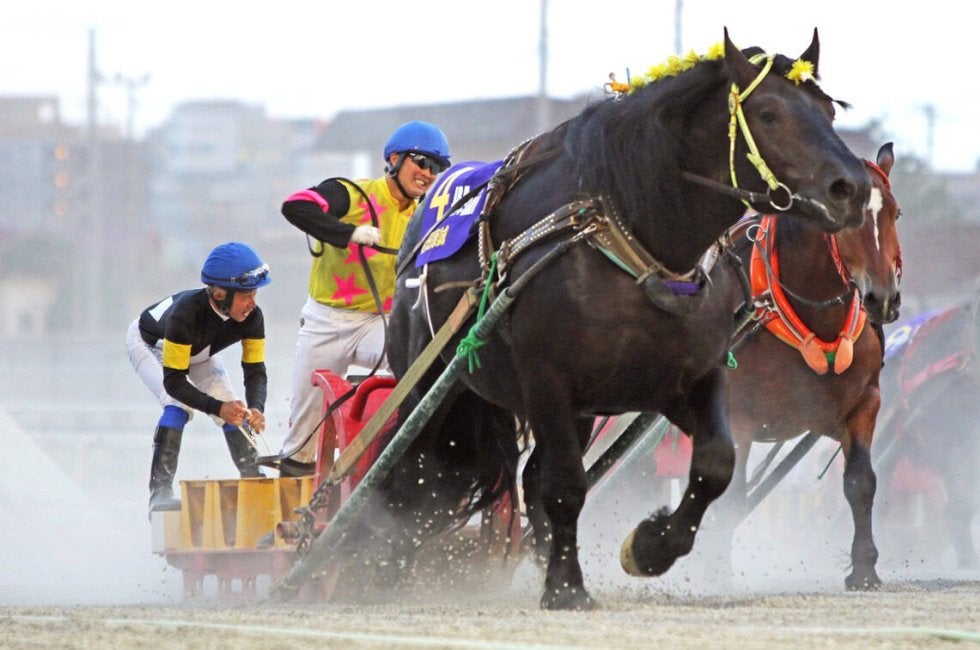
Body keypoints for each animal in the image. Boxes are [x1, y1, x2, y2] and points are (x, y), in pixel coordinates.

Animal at [372, 29, 870, 610]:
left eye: (827, 111)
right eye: (769, 113)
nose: (851, 189)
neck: (635, 244)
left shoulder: (685, 379)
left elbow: (715, 463)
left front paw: (650, 546)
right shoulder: (546, 381)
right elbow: (566, 485)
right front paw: (567, 587)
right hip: (430, 387)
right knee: (408, 475)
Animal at [708, 142, 902, 590]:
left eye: (895, 213)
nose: (883, 298)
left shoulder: (865, 402)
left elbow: (860, 482)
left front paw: (864, 567)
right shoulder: (738, 418)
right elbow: (730, 494)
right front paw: (717, 570)